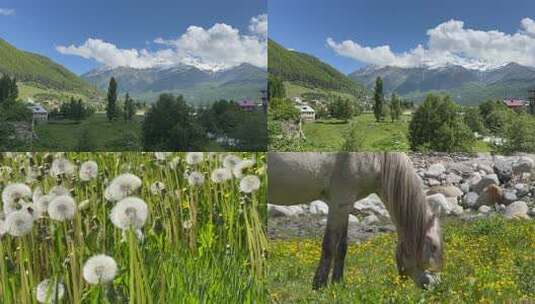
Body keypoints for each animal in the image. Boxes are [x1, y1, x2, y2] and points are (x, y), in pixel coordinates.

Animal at [268, 153, 444, 288]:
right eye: (433, 247)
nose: (436, 285)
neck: (378, 158)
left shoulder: (345, 205)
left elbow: (342, 246)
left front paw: (338, 283)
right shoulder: (339, 203)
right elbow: (329, 246)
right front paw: (319, 285)